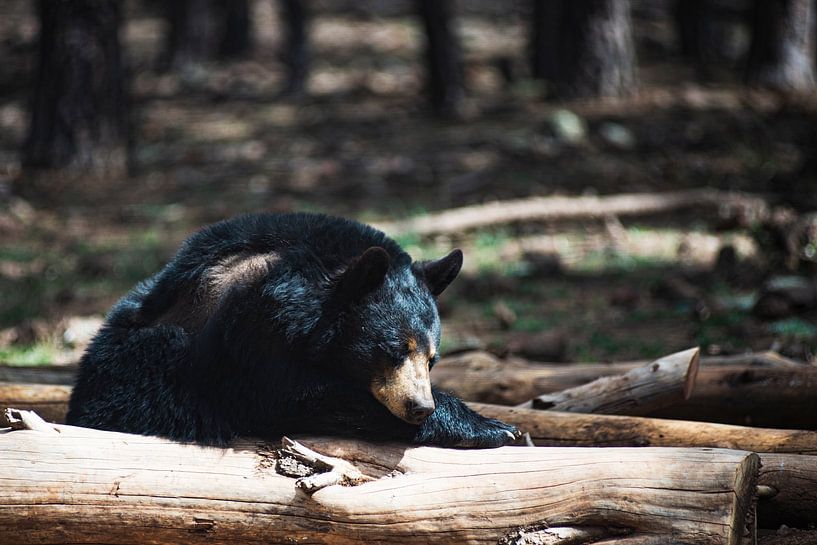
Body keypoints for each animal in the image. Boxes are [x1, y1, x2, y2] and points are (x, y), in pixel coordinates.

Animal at [66, 212, 519, 448]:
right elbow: (297, 395)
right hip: (144, 363)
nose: (419, 406)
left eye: (432, 358)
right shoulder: (249, 330)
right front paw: (494, 426)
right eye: (394, 349)